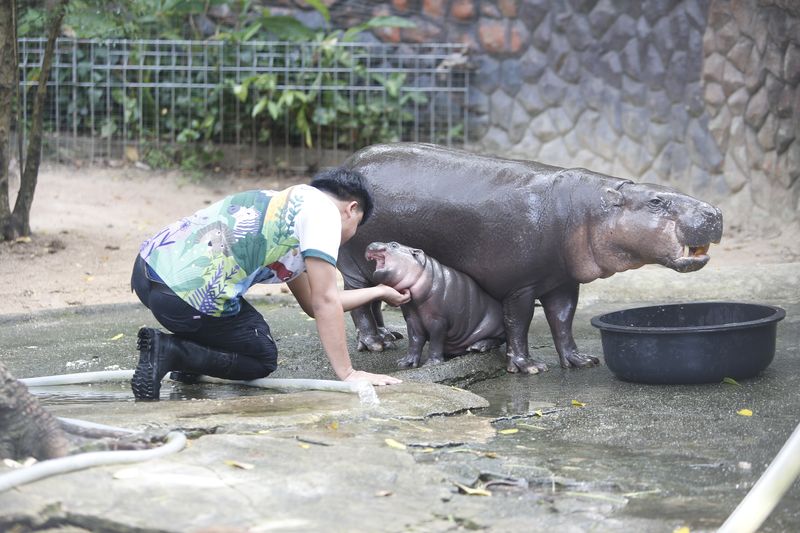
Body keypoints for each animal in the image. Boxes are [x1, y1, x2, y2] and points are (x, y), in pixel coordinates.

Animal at [366, 240, 504, 366]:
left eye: (394, 244)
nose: (371, 244)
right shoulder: (412, 319)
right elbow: (414, 340)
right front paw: (405, 362)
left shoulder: (438, 320)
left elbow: (435, 341)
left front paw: (431, 363)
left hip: (492, 325)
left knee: (498, 339)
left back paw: (477, 347)